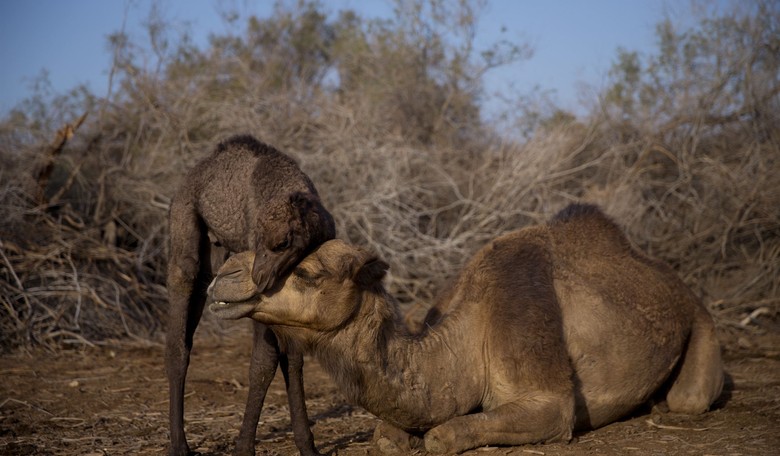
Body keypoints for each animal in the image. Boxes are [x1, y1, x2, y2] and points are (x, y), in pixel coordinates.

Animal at [166, 135, 335, 456]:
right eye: (258, 239)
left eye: (283, 243)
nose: (259, 277)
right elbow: (263, 363)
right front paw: (244, 448)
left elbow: (293, 360)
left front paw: (308, 446)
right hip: (184, 231)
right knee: (178, 339)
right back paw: (179, 446)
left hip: (214, 256)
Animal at [207, 203, 724, 454]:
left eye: (305, 271)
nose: (222, 276)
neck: (468, 340)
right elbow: (387, 436)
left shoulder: (550, 399)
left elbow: (443, 435)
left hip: (702, 324)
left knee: (690, 397)